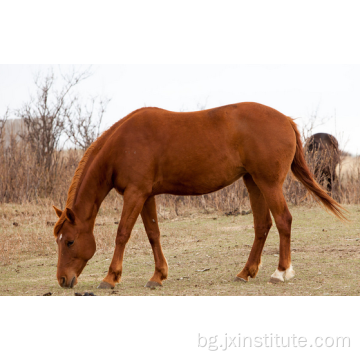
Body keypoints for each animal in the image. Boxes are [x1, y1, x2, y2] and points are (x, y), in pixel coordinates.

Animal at [52, 102, 346, 288]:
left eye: (69, 241)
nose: (63, 280)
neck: (123, 144)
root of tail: (285, 119)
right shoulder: (146, 195)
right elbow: (153, 234)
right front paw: (158, 276)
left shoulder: (135, 194)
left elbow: (122, 233)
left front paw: (111, 278)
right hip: (253, 182)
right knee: (262, 225)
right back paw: (245, 272)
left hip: (269, 183)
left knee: (284, 220)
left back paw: (281, 272)